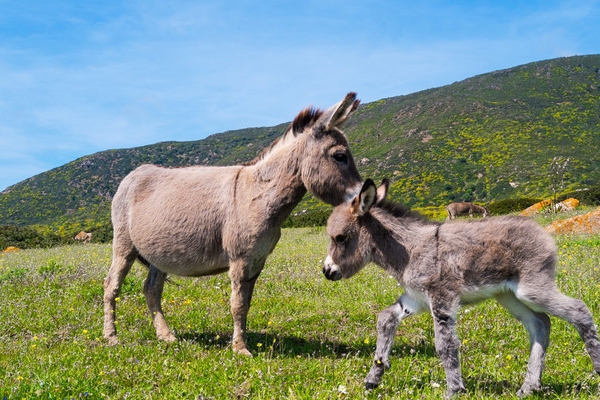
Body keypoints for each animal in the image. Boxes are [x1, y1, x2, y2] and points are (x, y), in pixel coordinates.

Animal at [326, 180, 600, 396]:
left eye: (340, 238)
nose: (327, 272)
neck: (409, 250)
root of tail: (542, 232)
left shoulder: (441, 298)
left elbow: (444, 344)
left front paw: (453, 390)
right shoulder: (415, 299)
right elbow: (385, 319)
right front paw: (375, 375)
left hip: (532, 288)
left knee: (578, 310)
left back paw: (595, 368)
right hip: (509, 296)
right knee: (540, 323)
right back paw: (528, 387)